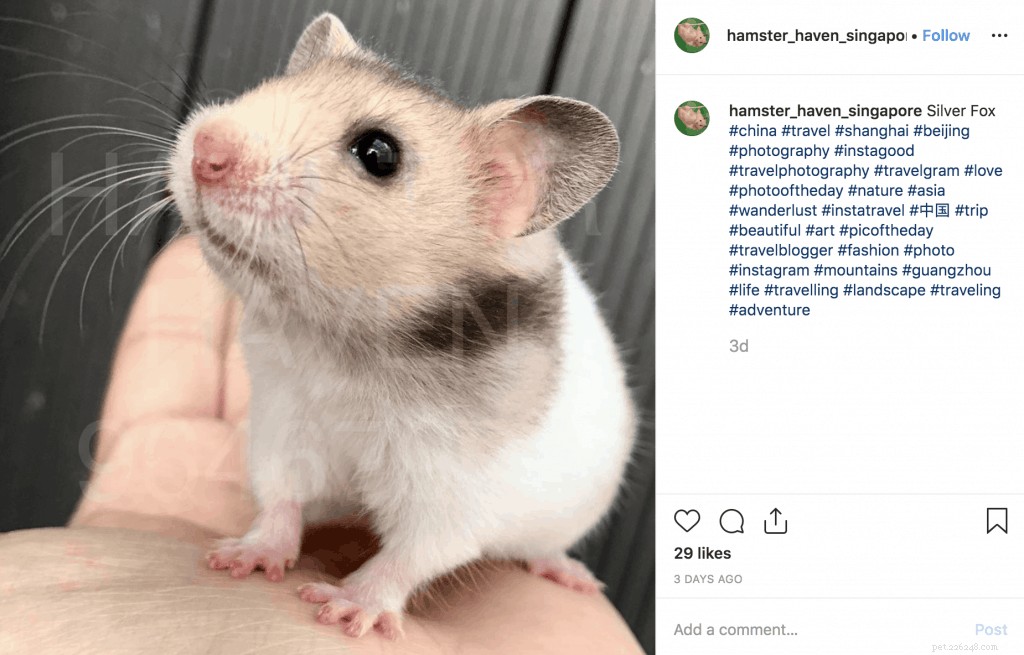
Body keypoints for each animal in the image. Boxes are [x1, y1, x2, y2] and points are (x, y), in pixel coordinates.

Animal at [168, 13, 636, 640]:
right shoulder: (284, 423)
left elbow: (408, 557)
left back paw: (572, 575)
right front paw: (239, 559)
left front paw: (345, 610)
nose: (205, 149)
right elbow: (282, 498)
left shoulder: (452, 490)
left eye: (378, 152)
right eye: (271, 85)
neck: (343, 344)